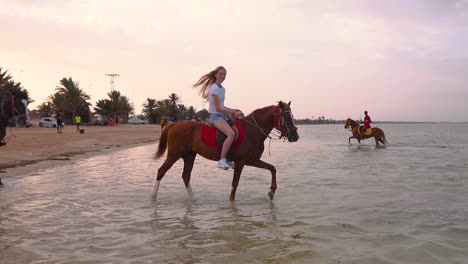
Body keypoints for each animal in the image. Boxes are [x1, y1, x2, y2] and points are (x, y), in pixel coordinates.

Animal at [154, 100, 300, 200]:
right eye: (287, 117)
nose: (295, 136)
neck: (252, 131)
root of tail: (173, 124)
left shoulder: (252, 160)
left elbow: (272, 168)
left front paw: (272, 191)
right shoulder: (241, 162)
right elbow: (235, 183)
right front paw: (231, 204)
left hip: (189, 156)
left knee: (186, 176)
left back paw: (192, 199)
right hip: (174, 155)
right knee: (161, 171)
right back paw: (153, 197)